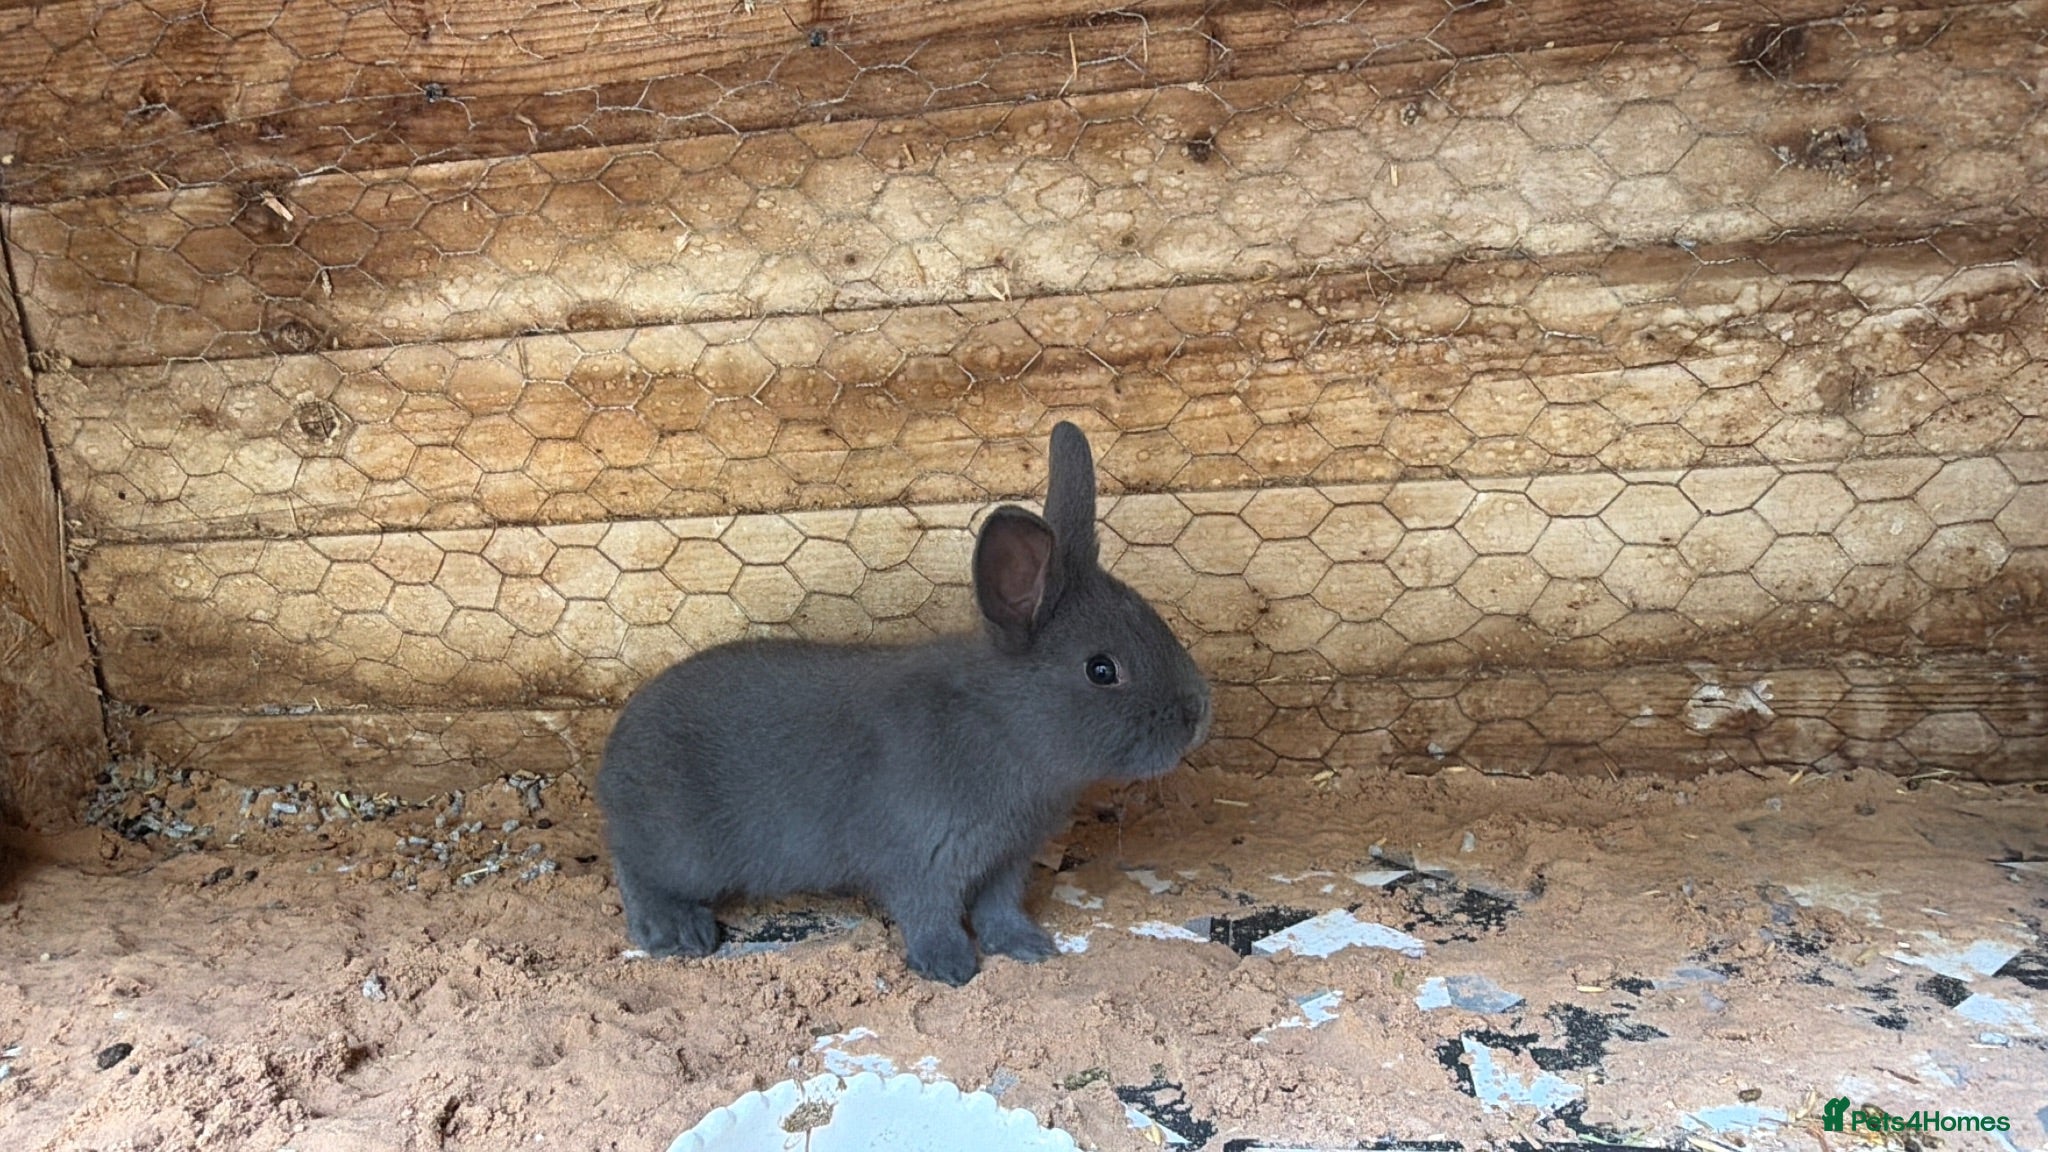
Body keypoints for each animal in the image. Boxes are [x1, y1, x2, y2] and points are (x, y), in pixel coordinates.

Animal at [597, 421, 1213, 985]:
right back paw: (675, 932)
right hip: (683, 852)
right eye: (1101, 670)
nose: (1198, 715)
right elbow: (931, 917)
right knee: (636, 870)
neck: (1000, 724)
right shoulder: (922, 863)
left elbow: (999, 911)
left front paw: (1029, 947)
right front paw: (951, 968)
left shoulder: (1005, 862)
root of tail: (611, 761)